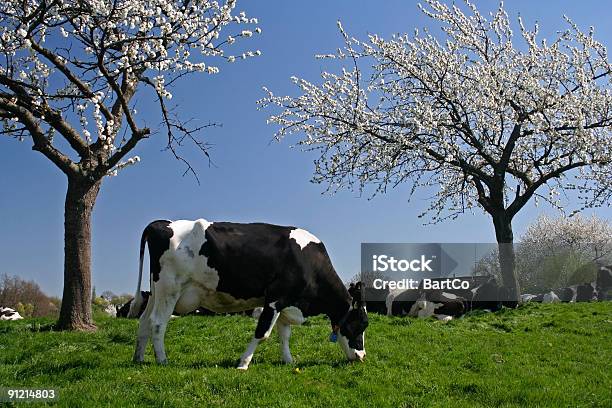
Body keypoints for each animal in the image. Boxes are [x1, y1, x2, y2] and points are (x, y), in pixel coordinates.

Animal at [130, 220, 368, 370]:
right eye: (360, 325)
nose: (362, 356)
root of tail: (161, 223)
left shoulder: (286, 303)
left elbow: (285, 334)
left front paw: (288, 361)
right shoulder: (275, 298)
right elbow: (263, 333)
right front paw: (243, 363)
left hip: (156, 292)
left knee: (144, 321)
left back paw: (138, 358)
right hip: (170, 289)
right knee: (158, 323)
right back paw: (162, 360)